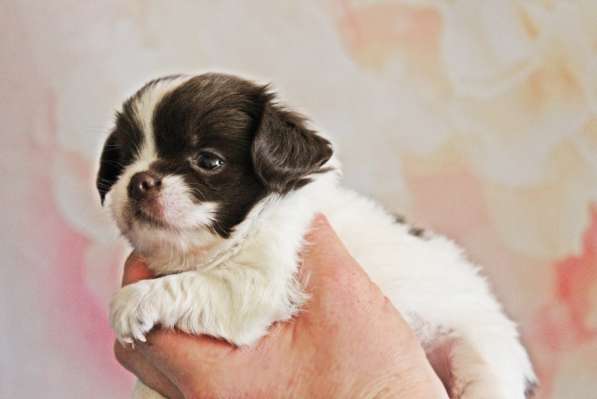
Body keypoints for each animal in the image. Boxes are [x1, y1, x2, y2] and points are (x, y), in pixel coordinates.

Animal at [96, 73, 536, 398]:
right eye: (124, 161)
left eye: (207, 160)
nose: (138, 181)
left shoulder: (257, 284)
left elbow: (191, 285)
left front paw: (134, 302)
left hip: (481, 356)